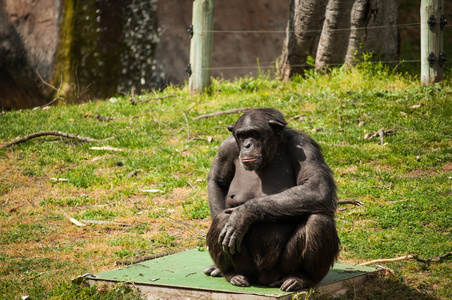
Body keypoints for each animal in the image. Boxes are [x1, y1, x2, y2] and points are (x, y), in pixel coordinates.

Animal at [205, 107, 340, 290]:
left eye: (254, 134)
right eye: (241, 136)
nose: (247, 145)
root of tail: (264, 280)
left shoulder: (305, 147)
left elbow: (317, 187)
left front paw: (242, 215)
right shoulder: (226, 148)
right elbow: (217, 182)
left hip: (284, 267)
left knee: (318, 220)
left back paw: (301, 278)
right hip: (248, 269)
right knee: (221, 218)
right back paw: (232, 274)